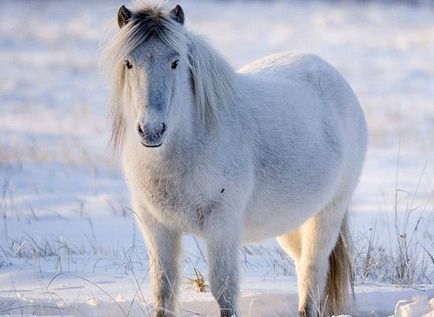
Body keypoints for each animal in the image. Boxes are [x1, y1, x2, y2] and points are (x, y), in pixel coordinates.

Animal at [103, 1, 368, 314]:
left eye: (175, 62)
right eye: (129, 63)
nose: (152, 130)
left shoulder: (223, 225)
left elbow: (224, 290)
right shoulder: (156, 227)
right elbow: (163, 291)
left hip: (328, 213)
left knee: (312, 272)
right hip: (293, 223)